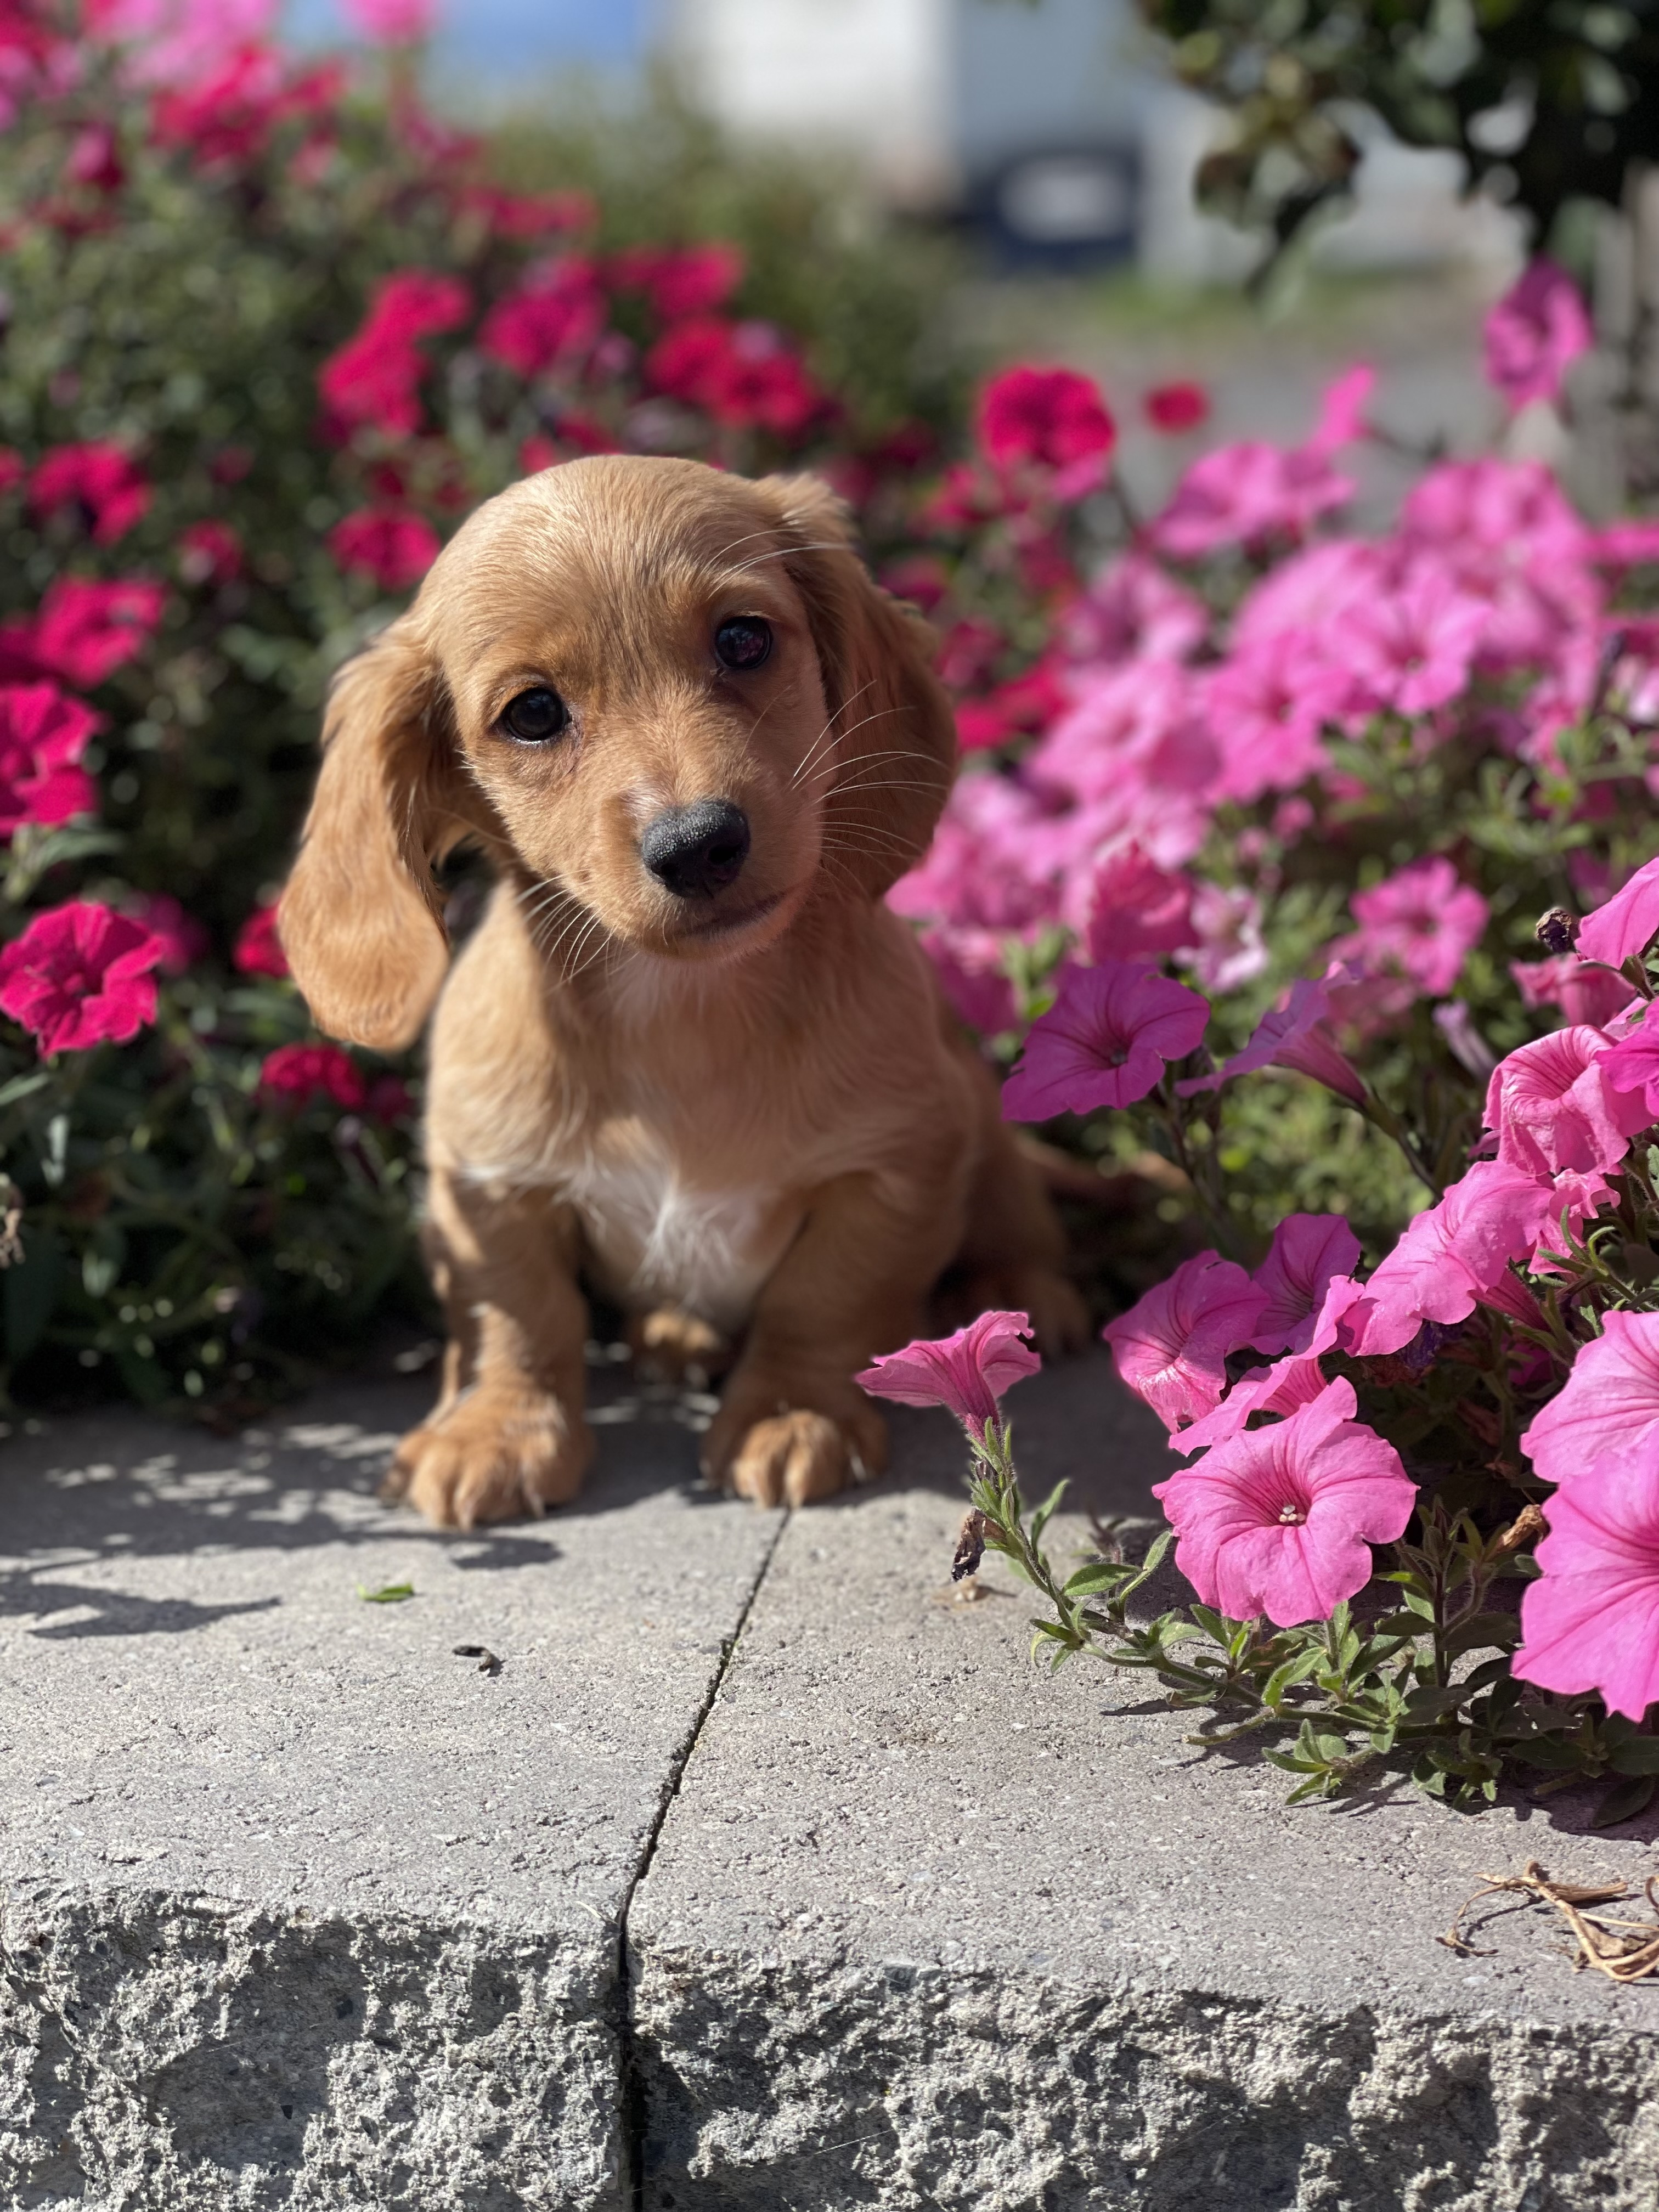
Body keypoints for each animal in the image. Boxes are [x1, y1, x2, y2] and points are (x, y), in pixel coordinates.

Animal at [280, 449, 1084, 1522]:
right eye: (532, 712)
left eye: (744, 638)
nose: (699, 844)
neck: (678, 1014)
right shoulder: (484, 1184)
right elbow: (516, 1315)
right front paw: (497, 1429)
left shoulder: (895, 1170)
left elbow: (825, 1299)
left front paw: (792, 1412)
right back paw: (675, 1337)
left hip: (988, 1140)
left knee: (1018, 1225)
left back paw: (1019, 1296)